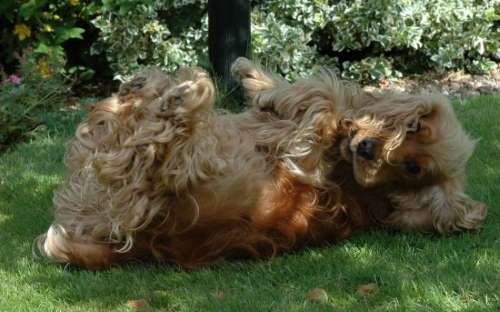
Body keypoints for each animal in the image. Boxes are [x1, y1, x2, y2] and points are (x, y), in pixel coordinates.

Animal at [37, 59, 486, 270]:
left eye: (414, 170)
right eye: (414, 129)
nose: (368, 150)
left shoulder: (308, 145)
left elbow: (322, 98)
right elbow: (323, 97)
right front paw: (256, 77)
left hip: (162, 168)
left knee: (164, 122)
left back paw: (177, 93)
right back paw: (152, 85)